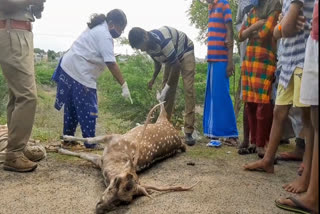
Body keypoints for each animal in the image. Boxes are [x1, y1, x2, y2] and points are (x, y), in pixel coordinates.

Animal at [58, 103, 196, 213]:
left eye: (125, 201)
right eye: (116, 180)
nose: (100, 207)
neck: (111, 160)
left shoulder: (103, 155)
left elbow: (84, 151)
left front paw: (60, 146)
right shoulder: (112, 138)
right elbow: (87, 142)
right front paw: (63, 139)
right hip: (161, 120)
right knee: (162, 108)